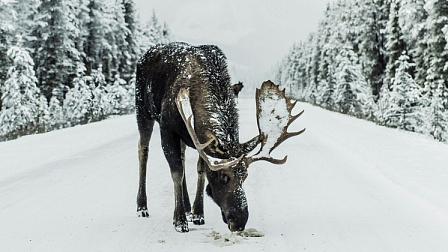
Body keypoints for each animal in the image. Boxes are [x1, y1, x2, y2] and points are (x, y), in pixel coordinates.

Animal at [136, 41, 304, 232]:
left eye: (245, 176)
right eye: (223, 176)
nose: (239, 222)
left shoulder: (198, 139)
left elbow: (200, 170)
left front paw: (198, 213)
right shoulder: (167, 127)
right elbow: (176, 171)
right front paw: (179, 220)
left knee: (183, 156)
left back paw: (187, 207)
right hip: (143, 110)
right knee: (143, 151)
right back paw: (142, 207)